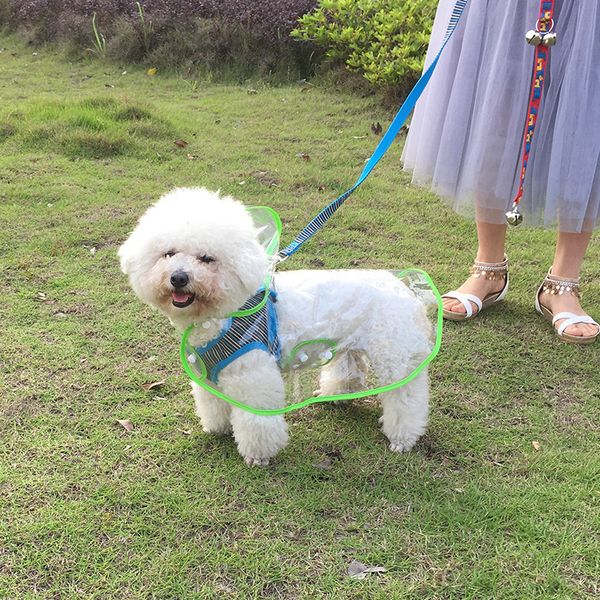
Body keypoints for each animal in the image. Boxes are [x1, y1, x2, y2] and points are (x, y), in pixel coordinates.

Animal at [119, 188, 434, 464]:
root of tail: (402, 286)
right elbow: (213, 404)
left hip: (396, 356)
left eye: (207, 258)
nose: (178, 278)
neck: (221, 315)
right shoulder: (208, 375)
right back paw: (336, 395)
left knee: (406, 396)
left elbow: (256, 419)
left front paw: (258, 455)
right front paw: (217, 428)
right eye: (168, 254)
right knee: (351, 368)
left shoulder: (253, 376)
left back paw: (403, 437)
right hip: (350, 344)